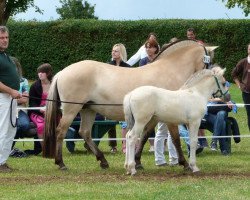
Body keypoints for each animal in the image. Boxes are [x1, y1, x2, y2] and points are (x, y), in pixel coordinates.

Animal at [43, 39, 217, 170]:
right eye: (210, 62)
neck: (170, 71)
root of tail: (62, 72)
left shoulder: (153, 117)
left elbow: (145, 136)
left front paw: (137, 161)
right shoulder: (170, 118)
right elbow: (175, 139)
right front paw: (185, 163)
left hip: (88, 109)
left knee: (85, 132)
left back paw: (103, 161)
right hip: (72, 110)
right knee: (61, 131)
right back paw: (61, 163)